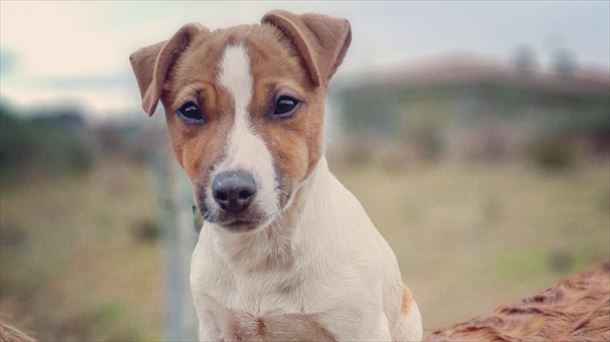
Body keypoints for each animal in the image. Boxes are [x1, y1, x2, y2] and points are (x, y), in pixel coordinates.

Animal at [128, 9, 422, 340]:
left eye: (285, 104)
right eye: (190, 110)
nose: (232, 191)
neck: (261, 252)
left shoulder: (361, 327)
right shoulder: (215, 325)